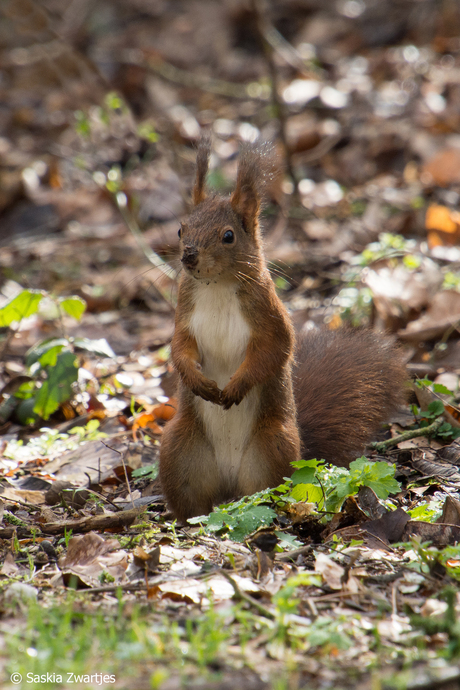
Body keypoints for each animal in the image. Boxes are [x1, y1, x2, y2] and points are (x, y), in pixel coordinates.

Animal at [158, 137, 406, 520]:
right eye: (181, 229)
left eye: (228, 236)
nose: (188, 256)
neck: (216, 286)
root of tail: (229, 488)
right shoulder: (184, 315)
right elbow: (180, 348)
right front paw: (198, 381)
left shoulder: (269, 316)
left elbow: (276, 349)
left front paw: (236, 387)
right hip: (178, 447)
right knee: (193, 502)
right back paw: (191, 518)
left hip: (275, 445)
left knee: (270, 492)